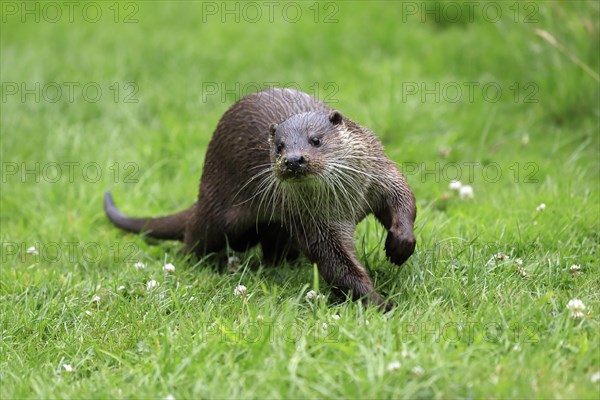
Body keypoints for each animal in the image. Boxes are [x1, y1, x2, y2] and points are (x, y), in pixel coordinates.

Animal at [105, 89, 414, 310]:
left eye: (315, 140)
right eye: (279, 147)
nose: (293, 160)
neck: (347, 201)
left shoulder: (381, 173)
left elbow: (404, 199)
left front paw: (400, 243)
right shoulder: (315, 222)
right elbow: (337, 263)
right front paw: (379, 303)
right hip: (218, 215)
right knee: (194, 237)